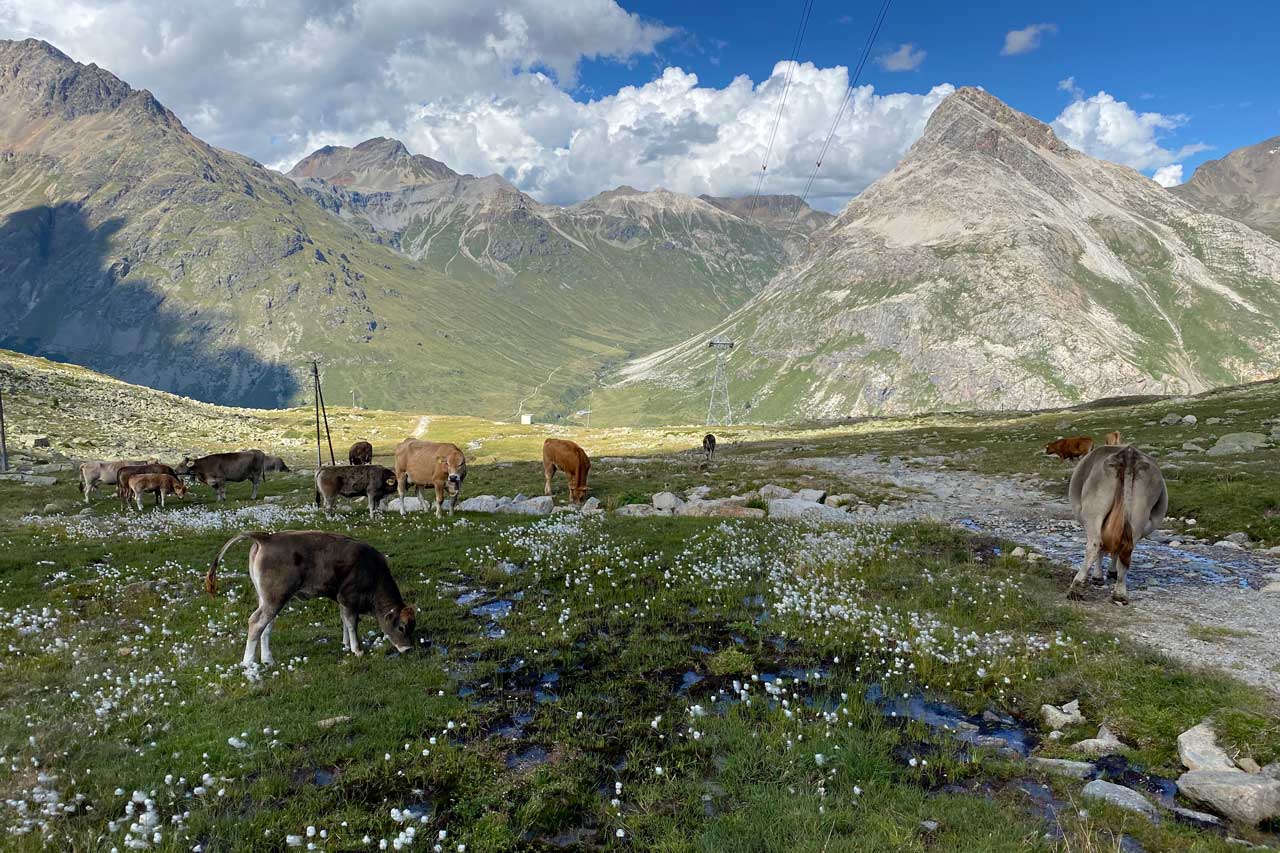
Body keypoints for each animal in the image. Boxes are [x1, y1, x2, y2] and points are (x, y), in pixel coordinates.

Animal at [204, 532, 414, 666]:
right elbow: (352, 623)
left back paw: (268, 660)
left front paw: (346, 644)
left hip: (268, 599)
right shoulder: (348, 598)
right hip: (275, 598)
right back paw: (248, 663)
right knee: (256, 622)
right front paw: (357, 650)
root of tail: (267, 537)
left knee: (266, 625)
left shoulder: (341, 600)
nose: (409, 649)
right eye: (401, 627)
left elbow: (344, 621)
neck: (372, 570)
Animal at [1064, 440, 1167, 601]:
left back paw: (1076, 586)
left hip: (1094, 509)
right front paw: (1111, 572)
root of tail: (1129, 453)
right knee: (1126, 548)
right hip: (1139, 513)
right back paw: (1120, 594)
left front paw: (1098, 576)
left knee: (1095, 545)